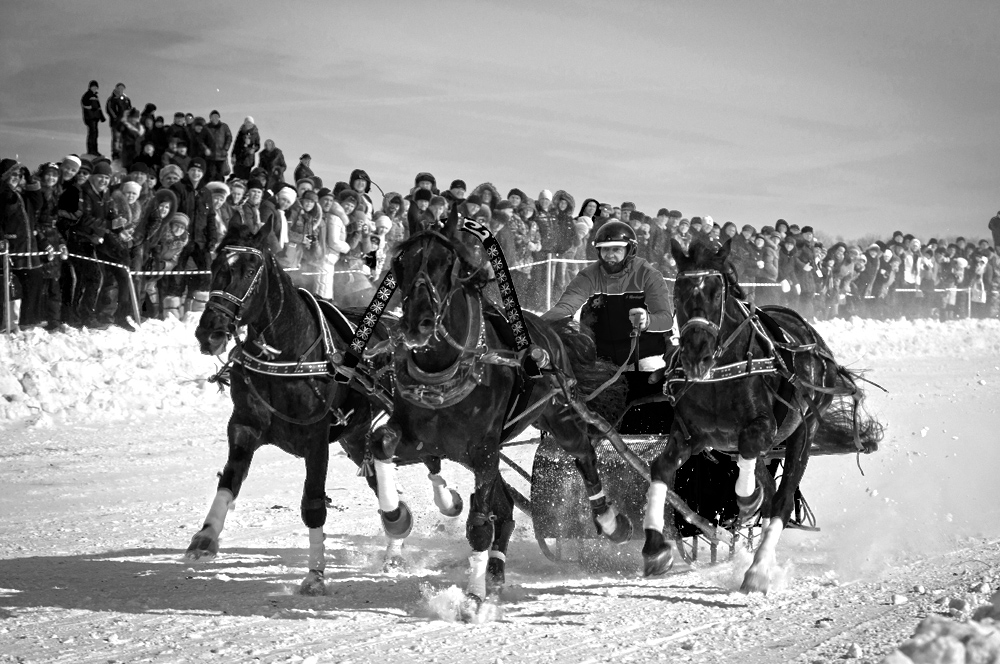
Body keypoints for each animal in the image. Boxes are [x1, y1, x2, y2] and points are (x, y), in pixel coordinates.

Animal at [187, 226, 460, 592]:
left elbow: (313, 504)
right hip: (357, 439)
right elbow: (230, 480)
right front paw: (206, 535)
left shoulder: (315, 438)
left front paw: (315, 574)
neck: (287, 356)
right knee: (385, 476)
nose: (210, 331)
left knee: (424, 459)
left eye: (248, 270)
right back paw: (395, 539)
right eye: (215, 265)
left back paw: (434, 507)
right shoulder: (244, 426)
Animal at [370, 213, 624, 612]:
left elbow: (478, 524)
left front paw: (473, 597)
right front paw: (396, 517)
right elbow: (381, 442)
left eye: (446, 263)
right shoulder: (420, 438)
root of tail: (550, 332)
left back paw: (610, 521)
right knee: (505, 510)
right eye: (400, 264)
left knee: (584, 455)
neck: (445, 368)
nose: (416, 324)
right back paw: (495, 574)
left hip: (559, 415)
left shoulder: (484, 449)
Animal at [640, 241, 884, 592]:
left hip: (803, 431)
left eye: (717, 292)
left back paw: (758, 568)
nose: (696, 353)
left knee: (781, 499)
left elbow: (750, 456)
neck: (720, 374)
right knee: (768, 487)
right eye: (678, 291)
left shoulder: (763, 428)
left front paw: (747, 500)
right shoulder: (692, 435)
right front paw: (655, 549)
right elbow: (661, 467)